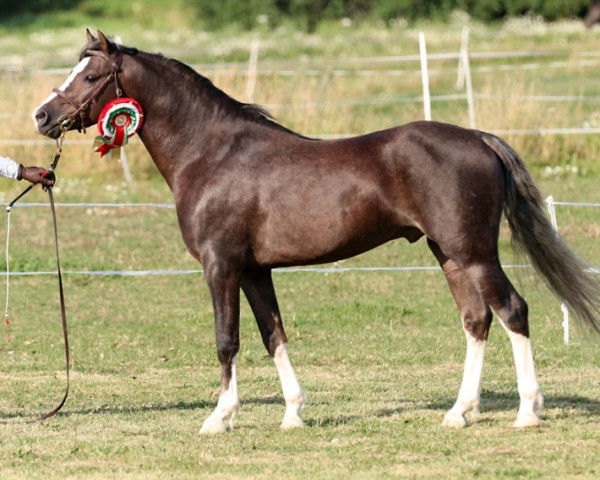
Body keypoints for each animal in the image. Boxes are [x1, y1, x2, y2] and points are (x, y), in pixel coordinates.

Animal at [34, 31, 600, 432]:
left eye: (90, 76)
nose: (42, 116)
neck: (211, 152)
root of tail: (479, 138)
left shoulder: (221, 266)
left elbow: (226, 340)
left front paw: (219, 418)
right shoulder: (255, 271)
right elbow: (274, 336)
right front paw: (293, 413)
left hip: (475, 252)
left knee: (512, 311)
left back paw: (527, 412)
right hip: (449, 253)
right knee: (476, 320)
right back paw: (459, 412)